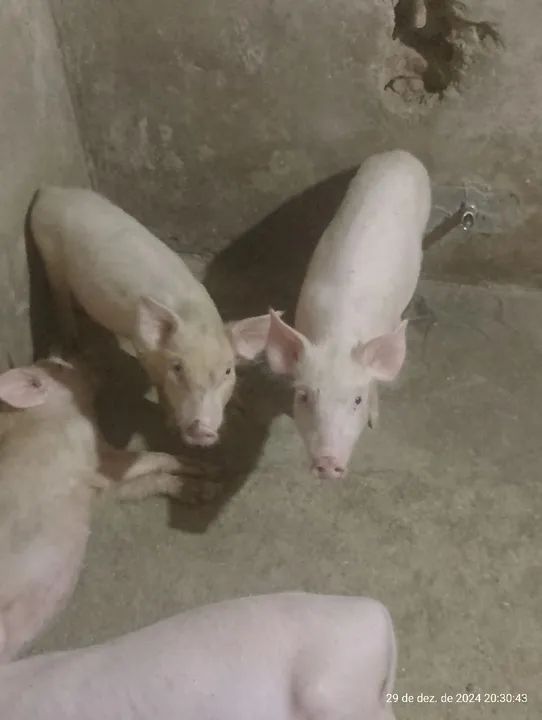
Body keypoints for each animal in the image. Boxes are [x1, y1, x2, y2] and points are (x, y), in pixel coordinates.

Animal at [0, 358, 218, 662]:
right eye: (58, 367)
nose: (84, 361)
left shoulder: (104, 489)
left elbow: (144, 483)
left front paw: (206, 484)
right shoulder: (101, 458)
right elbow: (153, 457)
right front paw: (208, 471)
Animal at [30, 187, 274, 447]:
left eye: (228, 371)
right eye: (178, 368)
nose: (202, 430)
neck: (196, 320)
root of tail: (49, 190)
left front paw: (240, 407)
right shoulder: (142, 348)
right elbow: (158, 383)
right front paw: (170, 426)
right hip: (49, 255)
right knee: (59, 295)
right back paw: (72, 342)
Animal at [266, 150, 431, 479]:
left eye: (357, 400)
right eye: (303, 396)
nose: (328, 463)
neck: (337, 338)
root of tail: (400, 153)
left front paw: (374, 422)